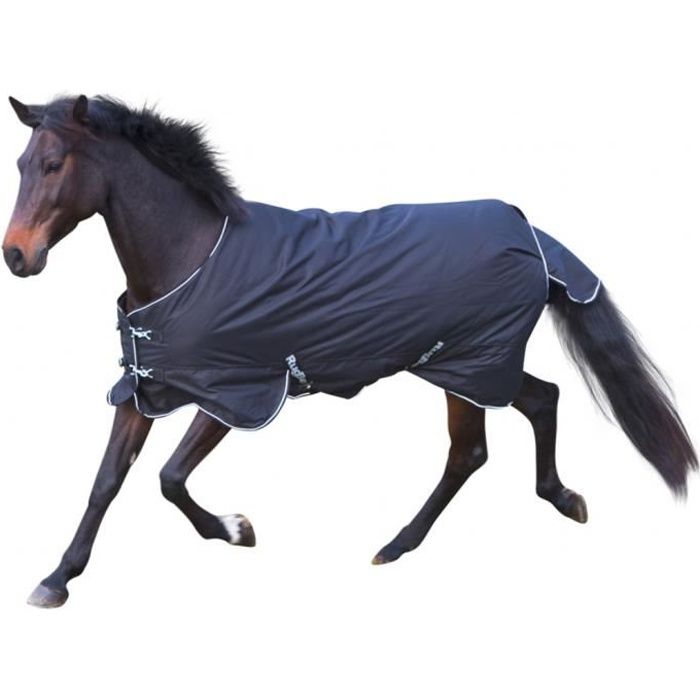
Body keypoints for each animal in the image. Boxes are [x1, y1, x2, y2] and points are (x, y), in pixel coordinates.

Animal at [3, 94, 696, 608]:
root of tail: (529, 232)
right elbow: (105, 482)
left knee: (469, 452)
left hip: (468, 365)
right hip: (471, 364)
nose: (16, 256)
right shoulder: (146, 387)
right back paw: (561, 499)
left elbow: (169, 477)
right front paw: (56, 580)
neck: (190, 258)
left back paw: (396, 546)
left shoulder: (237, 393)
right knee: (539, 402)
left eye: (55, 164)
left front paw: (235, 530)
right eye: (20, 163)